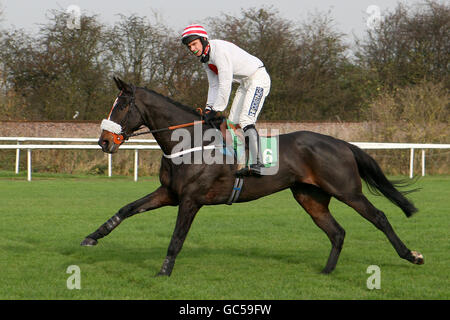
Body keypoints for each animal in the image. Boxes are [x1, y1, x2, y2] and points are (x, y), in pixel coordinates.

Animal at [79, 77, 424, 276]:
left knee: (379, 217)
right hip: (309, 197)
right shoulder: (169, 194)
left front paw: (164, 272)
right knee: (337, 232)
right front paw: (91, 237)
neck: (188, 143)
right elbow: (126, 209)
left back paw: (412, 255)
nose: (103, 142)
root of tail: (341, 143)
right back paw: (326, 272)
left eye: (121, 106)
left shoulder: (190, 200)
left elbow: (177, 238)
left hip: (347, 191)